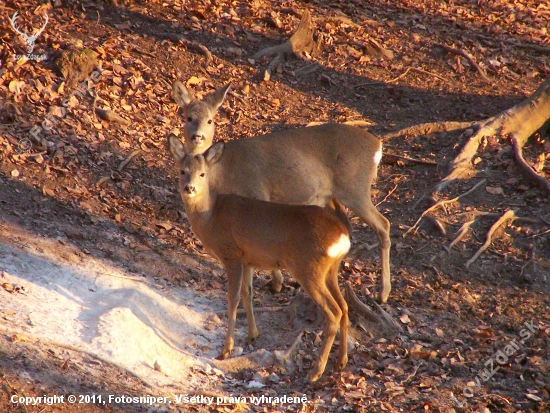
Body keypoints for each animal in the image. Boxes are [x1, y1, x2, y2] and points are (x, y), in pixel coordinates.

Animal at [172, 79, 392, 300]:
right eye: (189, 117)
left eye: (210, 120)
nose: (197, 136)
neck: (223, 171)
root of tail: (378, 146)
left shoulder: (256, 191)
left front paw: (276, 283)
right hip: (331, 196)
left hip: (355, 188)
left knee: (383, 224)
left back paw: (383, 293)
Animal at [175, 142, 352, 384]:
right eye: (182, 170)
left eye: (202, 174)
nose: (189, 188)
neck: (211, 216)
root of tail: (343, 237)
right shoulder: (248, 259)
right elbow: (248, 293)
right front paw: (252, 335)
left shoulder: (231, 254)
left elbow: (232, 299)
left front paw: (226, 350)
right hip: (330, 270)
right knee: (344, 306)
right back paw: (341, 361)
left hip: (308, 268)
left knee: (333, 311)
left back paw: (315, 371)